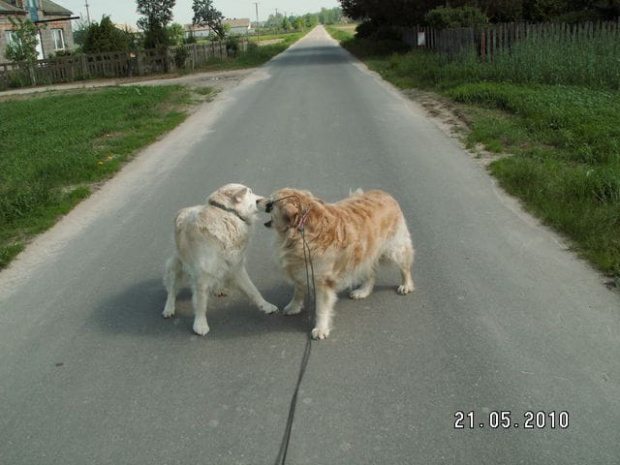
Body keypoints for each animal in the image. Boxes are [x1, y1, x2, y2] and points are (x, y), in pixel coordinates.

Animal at [163, 183, 278, 336]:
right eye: (250, 192)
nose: (270, 202)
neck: (227, 214)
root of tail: (183, 209)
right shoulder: (203, 274)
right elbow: (200, 302)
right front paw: (200, 324)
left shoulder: (236, 266)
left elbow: (253, 290)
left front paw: (266, 306)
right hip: (175, 265)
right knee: (172, 290)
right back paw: (169, 308)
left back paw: (218, 288)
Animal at [260, 187, 414, 338]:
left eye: (271, 203)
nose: (257, 200)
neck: (300, 230)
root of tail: (385, 194)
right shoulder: (299, 267)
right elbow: (298, 290)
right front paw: (294, 306)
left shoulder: (323, 281)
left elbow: (321, 308)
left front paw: (320, 328)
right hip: (366, 253)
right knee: (371, 272)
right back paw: (363, 291)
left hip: (394, 248)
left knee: (405, 266)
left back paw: (406, 285)